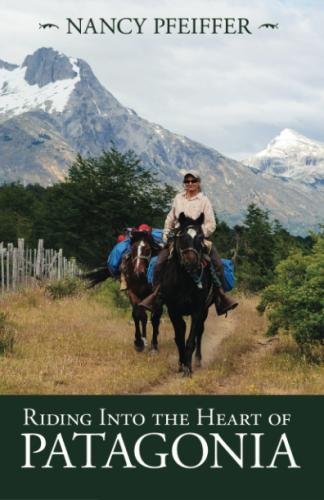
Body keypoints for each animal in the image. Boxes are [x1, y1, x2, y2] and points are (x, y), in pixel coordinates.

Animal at [160, 211, 214, 376]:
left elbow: (191, 340)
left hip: (205, 311)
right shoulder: (173, 310)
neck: (184, 280)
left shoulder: (197, 310)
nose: (191, 262)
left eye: (201, 237)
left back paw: (197, 360)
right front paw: (181, 364)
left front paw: (188, 369)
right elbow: (179, 337)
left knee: (200, 332)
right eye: (182, 236)